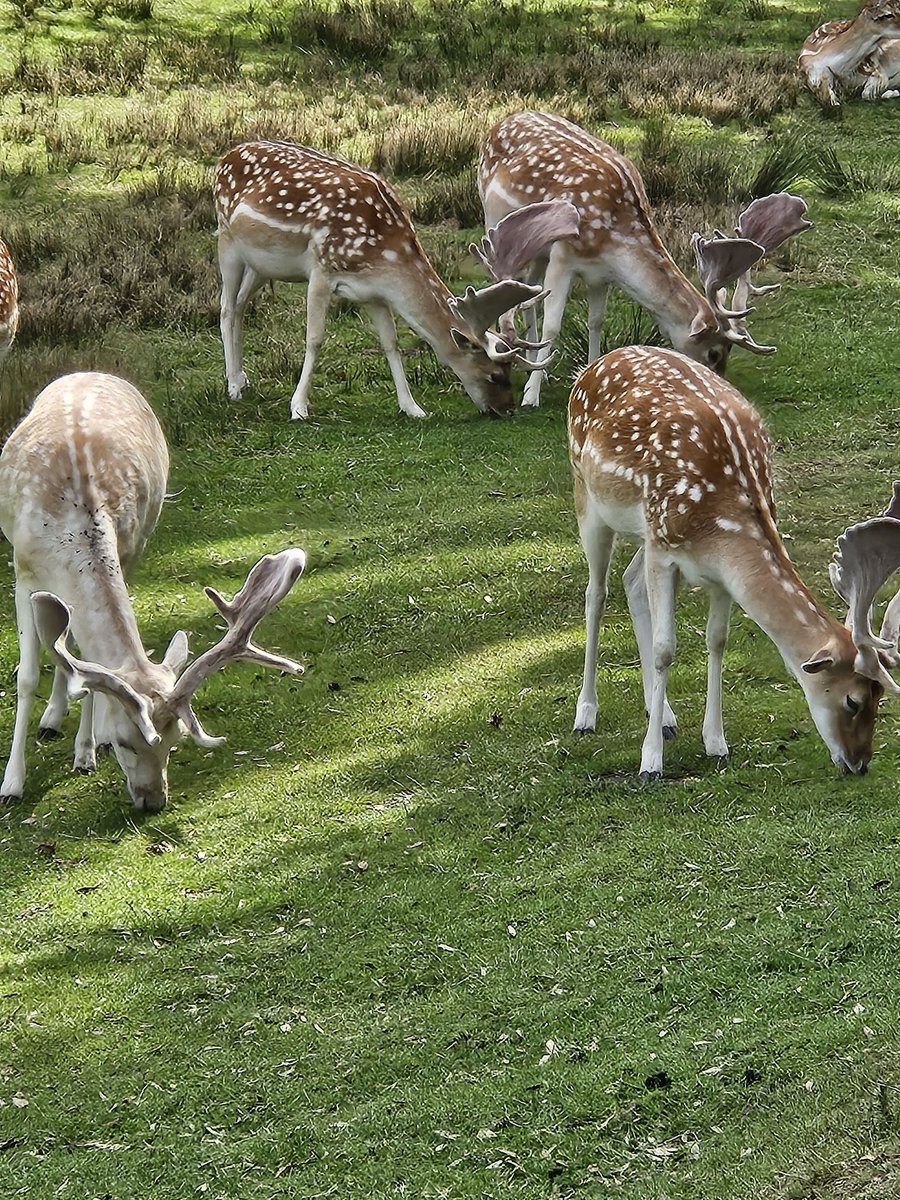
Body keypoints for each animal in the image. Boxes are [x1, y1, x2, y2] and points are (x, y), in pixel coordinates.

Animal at [0, 371, 307, 812]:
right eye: (125, 742)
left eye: (174, 742)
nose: (153, 801)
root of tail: (93, 371)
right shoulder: (23, 570)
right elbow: (27, 677)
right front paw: (12, 784)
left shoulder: (127, 550)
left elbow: (86, 663)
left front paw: (85, 753)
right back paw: (51, 719)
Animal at [214, 140, 553, 421]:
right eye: (495, 374)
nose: (507, 410)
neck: (384, 257)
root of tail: (225, 157)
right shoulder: (321, 270)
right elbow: (315, 338)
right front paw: (298, 407)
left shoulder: (373, 294)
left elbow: (391, 343)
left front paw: (413, 408)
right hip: (227, 240)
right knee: (226, 307)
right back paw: (232, 387)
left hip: (261, 264)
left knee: (241, 304)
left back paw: (242, 377)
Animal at [477, 111, 811, 408]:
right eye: (714, 352)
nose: (719, 385)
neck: (612, 239)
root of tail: (499, 123)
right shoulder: (563, 255)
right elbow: (553, 326)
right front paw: (530, 397)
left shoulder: (600, 274)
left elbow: (596, 322)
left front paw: (589, 373)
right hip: (496, 222)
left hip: (535, 249)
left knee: (527, 296)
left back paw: (535, 364)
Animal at [568, 345, 900, 780]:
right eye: (853, 700)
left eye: (881, 697)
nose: (859, 763)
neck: (721, 518)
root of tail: (594, 364)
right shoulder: (664, 549)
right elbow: (664, 649)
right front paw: (650, 762)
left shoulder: (717, 572)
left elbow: (718, 640)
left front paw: (716, 743)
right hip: (590, 498)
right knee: (597, 593)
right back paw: (586, 715)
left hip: (643, 532)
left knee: (630, 581)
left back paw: (665, 715)